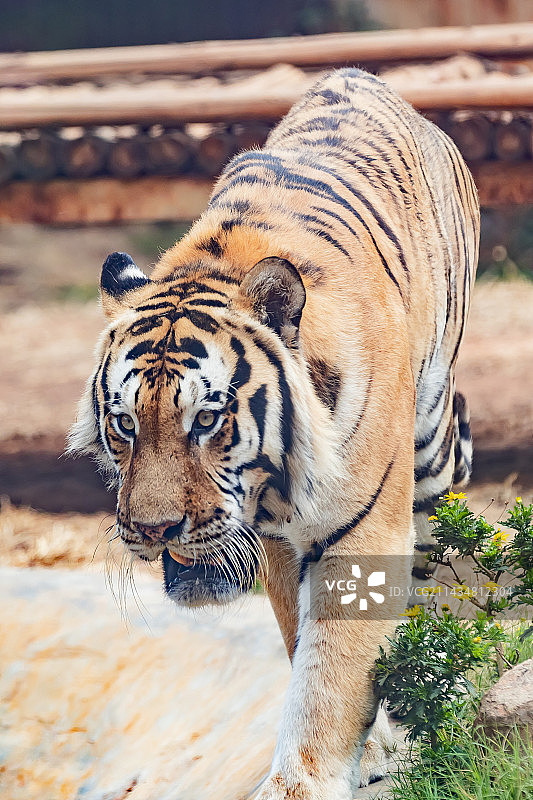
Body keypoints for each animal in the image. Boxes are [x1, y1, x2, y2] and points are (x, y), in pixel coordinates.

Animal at [69, 68, 479, 799]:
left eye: (205, 420)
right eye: (124, 425)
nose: (152, 530)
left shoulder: (362, 527)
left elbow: (331, 671)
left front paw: (305, 779)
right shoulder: (282, 543)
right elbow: (303, 647)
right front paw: (366, 748)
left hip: (431, 441)